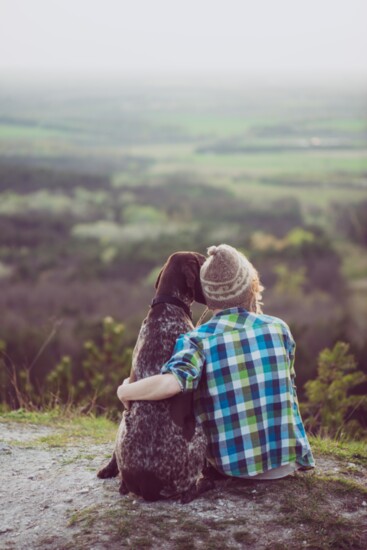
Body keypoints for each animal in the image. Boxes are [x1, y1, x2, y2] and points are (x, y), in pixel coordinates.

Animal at [97, 252, 207, 502]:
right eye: (203, 261)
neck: (168, 305)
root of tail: (149, 485)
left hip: (124, 422)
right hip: (198, 435)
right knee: (189, 490)